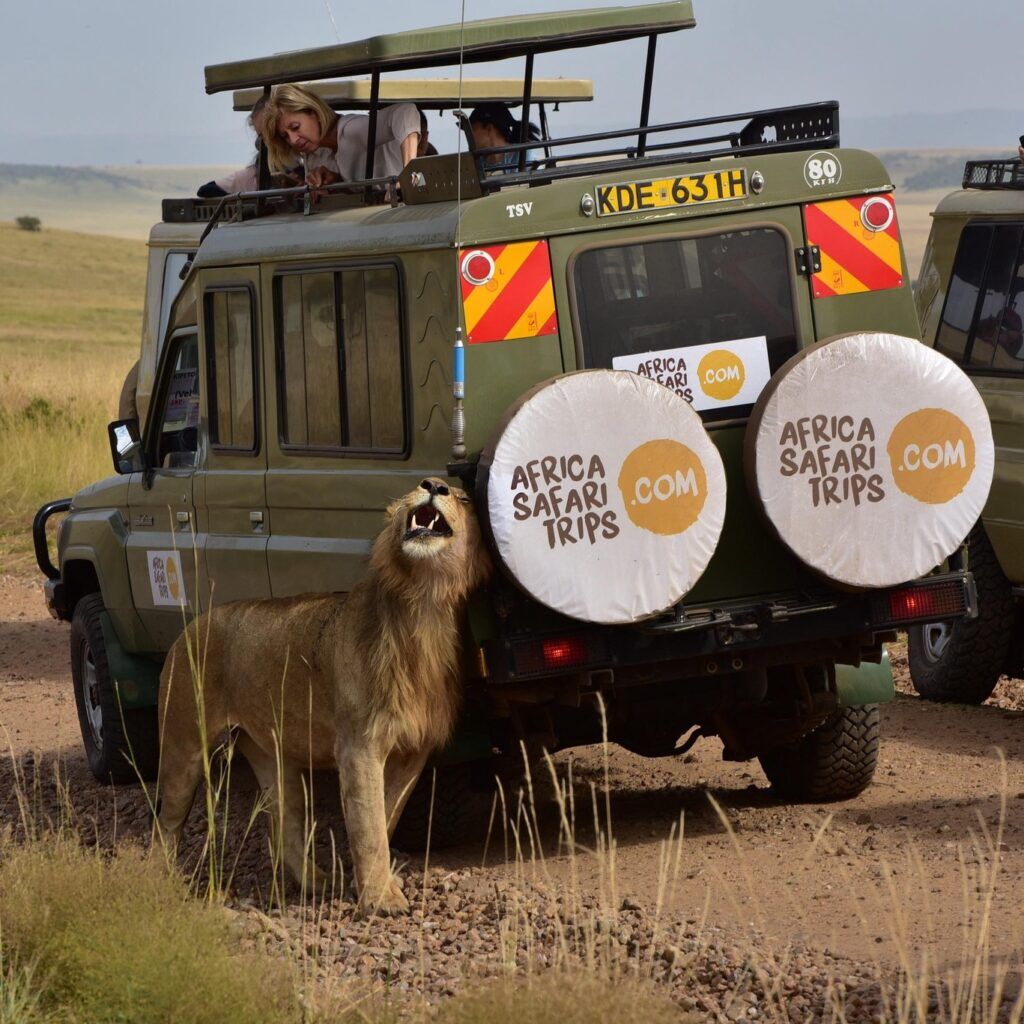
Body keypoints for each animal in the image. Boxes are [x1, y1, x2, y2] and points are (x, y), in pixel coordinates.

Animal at [154, 478, 491, 915]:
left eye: (463, 498)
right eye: (417, 489)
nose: (432, 485)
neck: (424, 603)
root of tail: (187, 628)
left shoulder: (413, 752)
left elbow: (385, 816)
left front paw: (372, 885)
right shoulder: (359, 746)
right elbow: (369, 827)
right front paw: (381, 900)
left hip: (275, 761)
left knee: (283, 829)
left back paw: (317, 882)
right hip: (184, 748)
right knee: (166, 825)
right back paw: (159, 884)